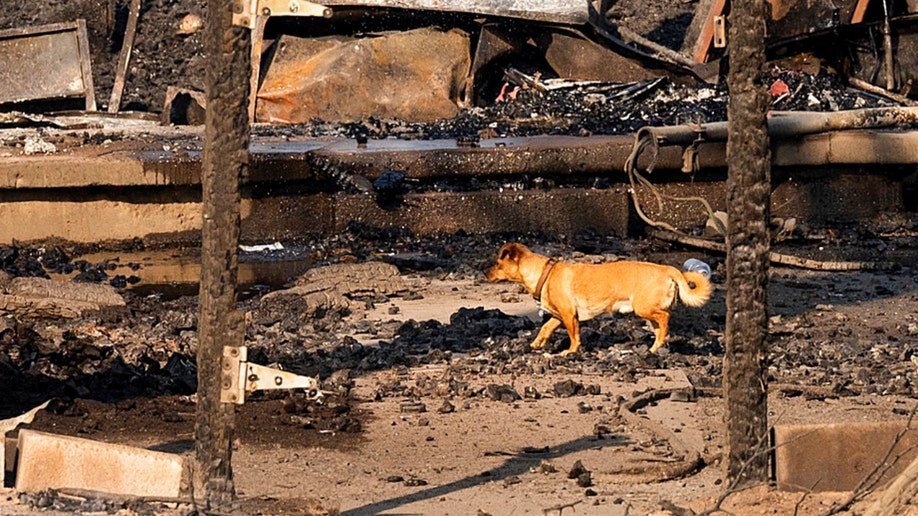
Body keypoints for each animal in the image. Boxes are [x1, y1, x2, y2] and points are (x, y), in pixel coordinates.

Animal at [486, 243, 716, 354]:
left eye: (497, 264)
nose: (484, 273)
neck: (545, 273)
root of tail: (668, 269)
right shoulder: (559, 316)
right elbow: (545, 328)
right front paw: (536, 344)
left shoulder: (569, 316)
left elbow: (574, 337)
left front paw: (570, 352)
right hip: (647, 313)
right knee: (660, 327)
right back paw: (653, 349)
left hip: (643, 307)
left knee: (665, 319)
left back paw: (658, 344)